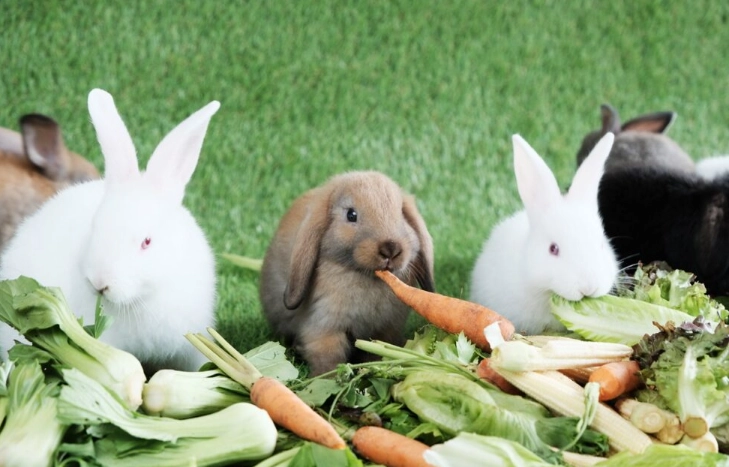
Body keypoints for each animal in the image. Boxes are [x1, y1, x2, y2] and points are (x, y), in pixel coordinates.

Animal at [259, 171, 435, 376]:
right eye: (351, 215)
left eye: (401, 214)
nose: (390, 249)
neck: (367, 277)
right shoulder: (324, 327)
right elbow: (328, 359)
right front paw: (328, 379)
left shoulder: (385, 329)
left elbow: (377, 353)